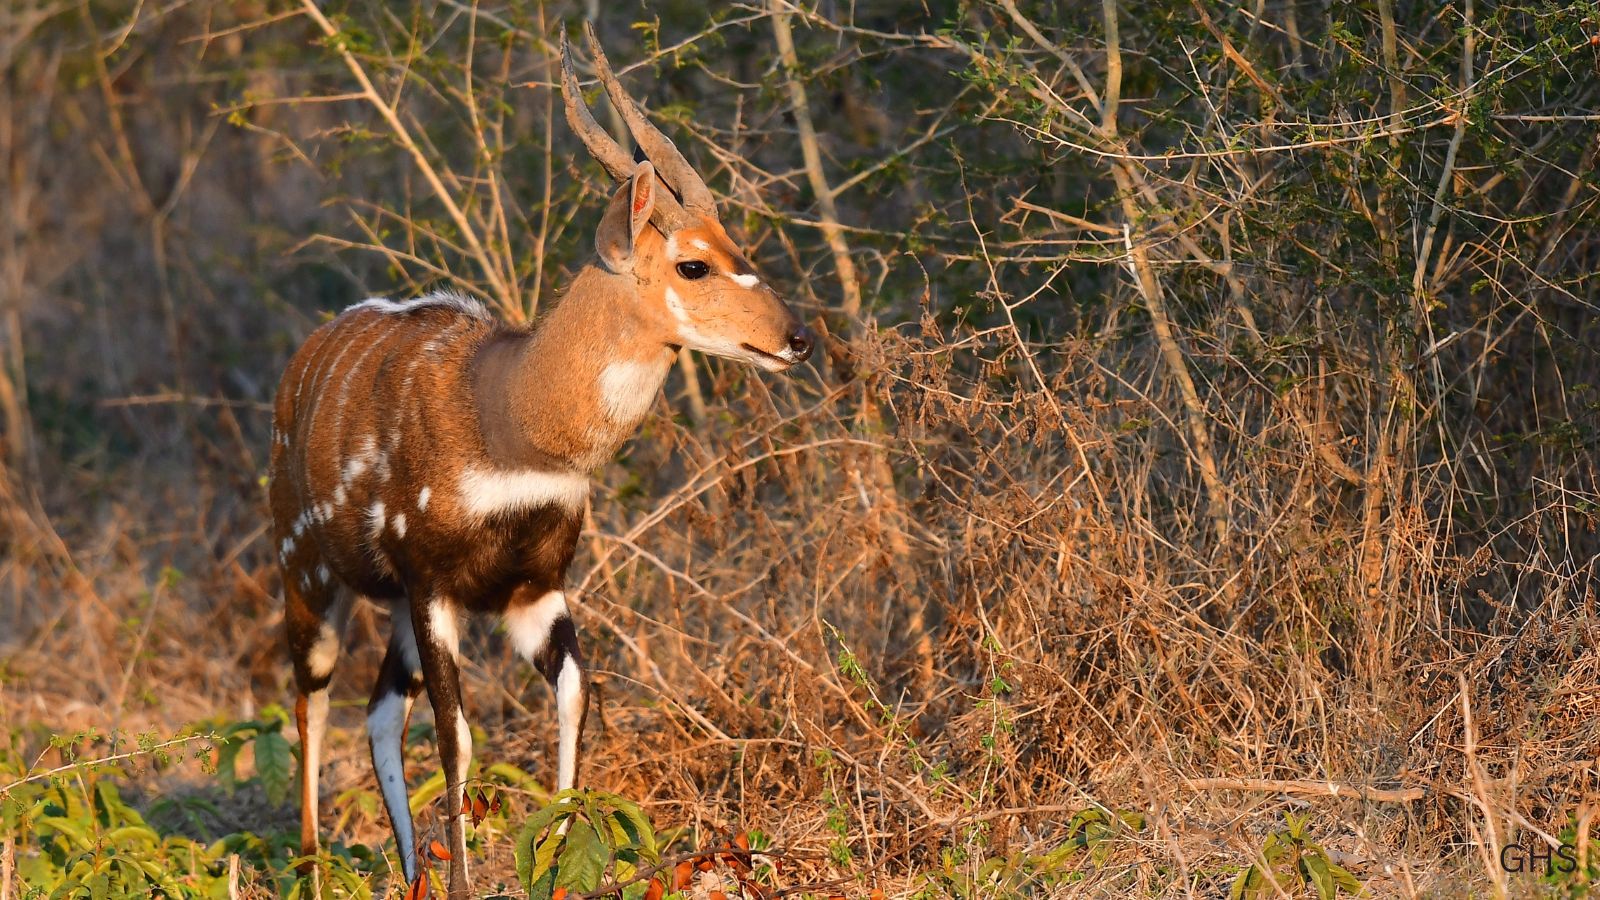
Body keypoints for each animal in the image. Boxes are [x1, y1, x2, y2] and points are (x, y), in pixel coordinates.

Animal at [268, 27, 813, 898]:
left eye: (737, 245)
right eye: (692, 264)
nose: (797, 339)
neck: (509, 416)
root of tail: (297, 371)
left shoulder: (535, 588)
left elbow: (574, 699)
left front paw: (555, 867)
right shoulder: (434, 584)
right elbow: (457, 737)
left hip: (392, 610)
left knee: (380, 711)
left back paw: (412, 875)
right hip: (311, 577)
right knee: (311, 704)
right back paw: (317, 869)